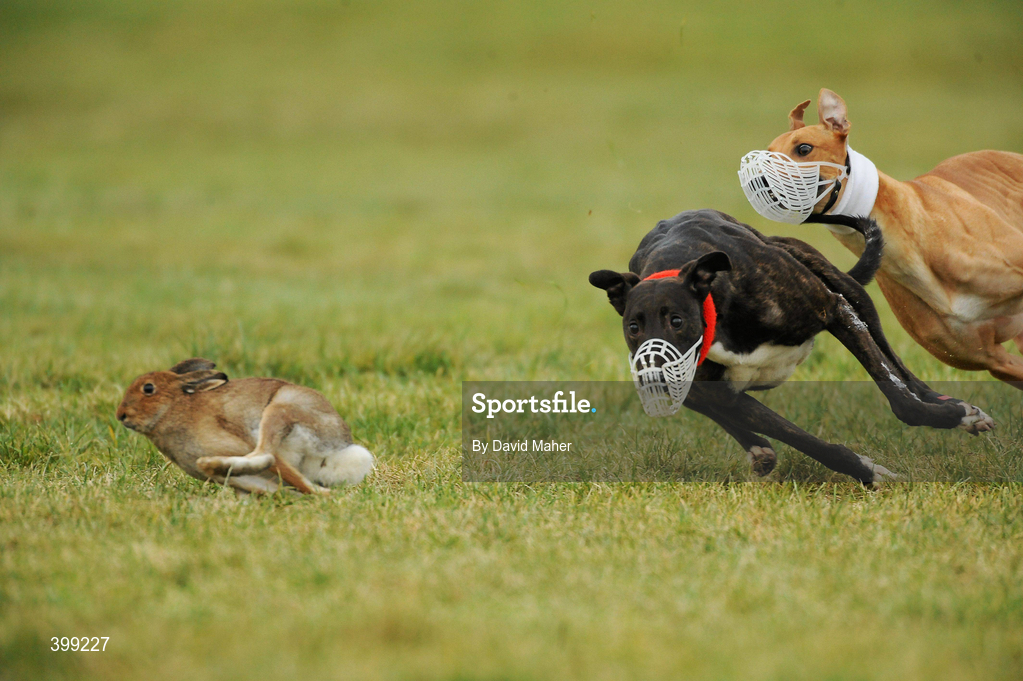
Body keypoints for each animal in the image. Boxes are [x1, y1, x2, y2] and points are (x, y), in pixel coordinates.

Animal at [115, 358, 374, 495]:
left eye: (148, 388)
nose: (121, 415)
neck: (173, 407)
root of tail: (339, 446)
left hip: (280, 410)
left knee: (266, 454)